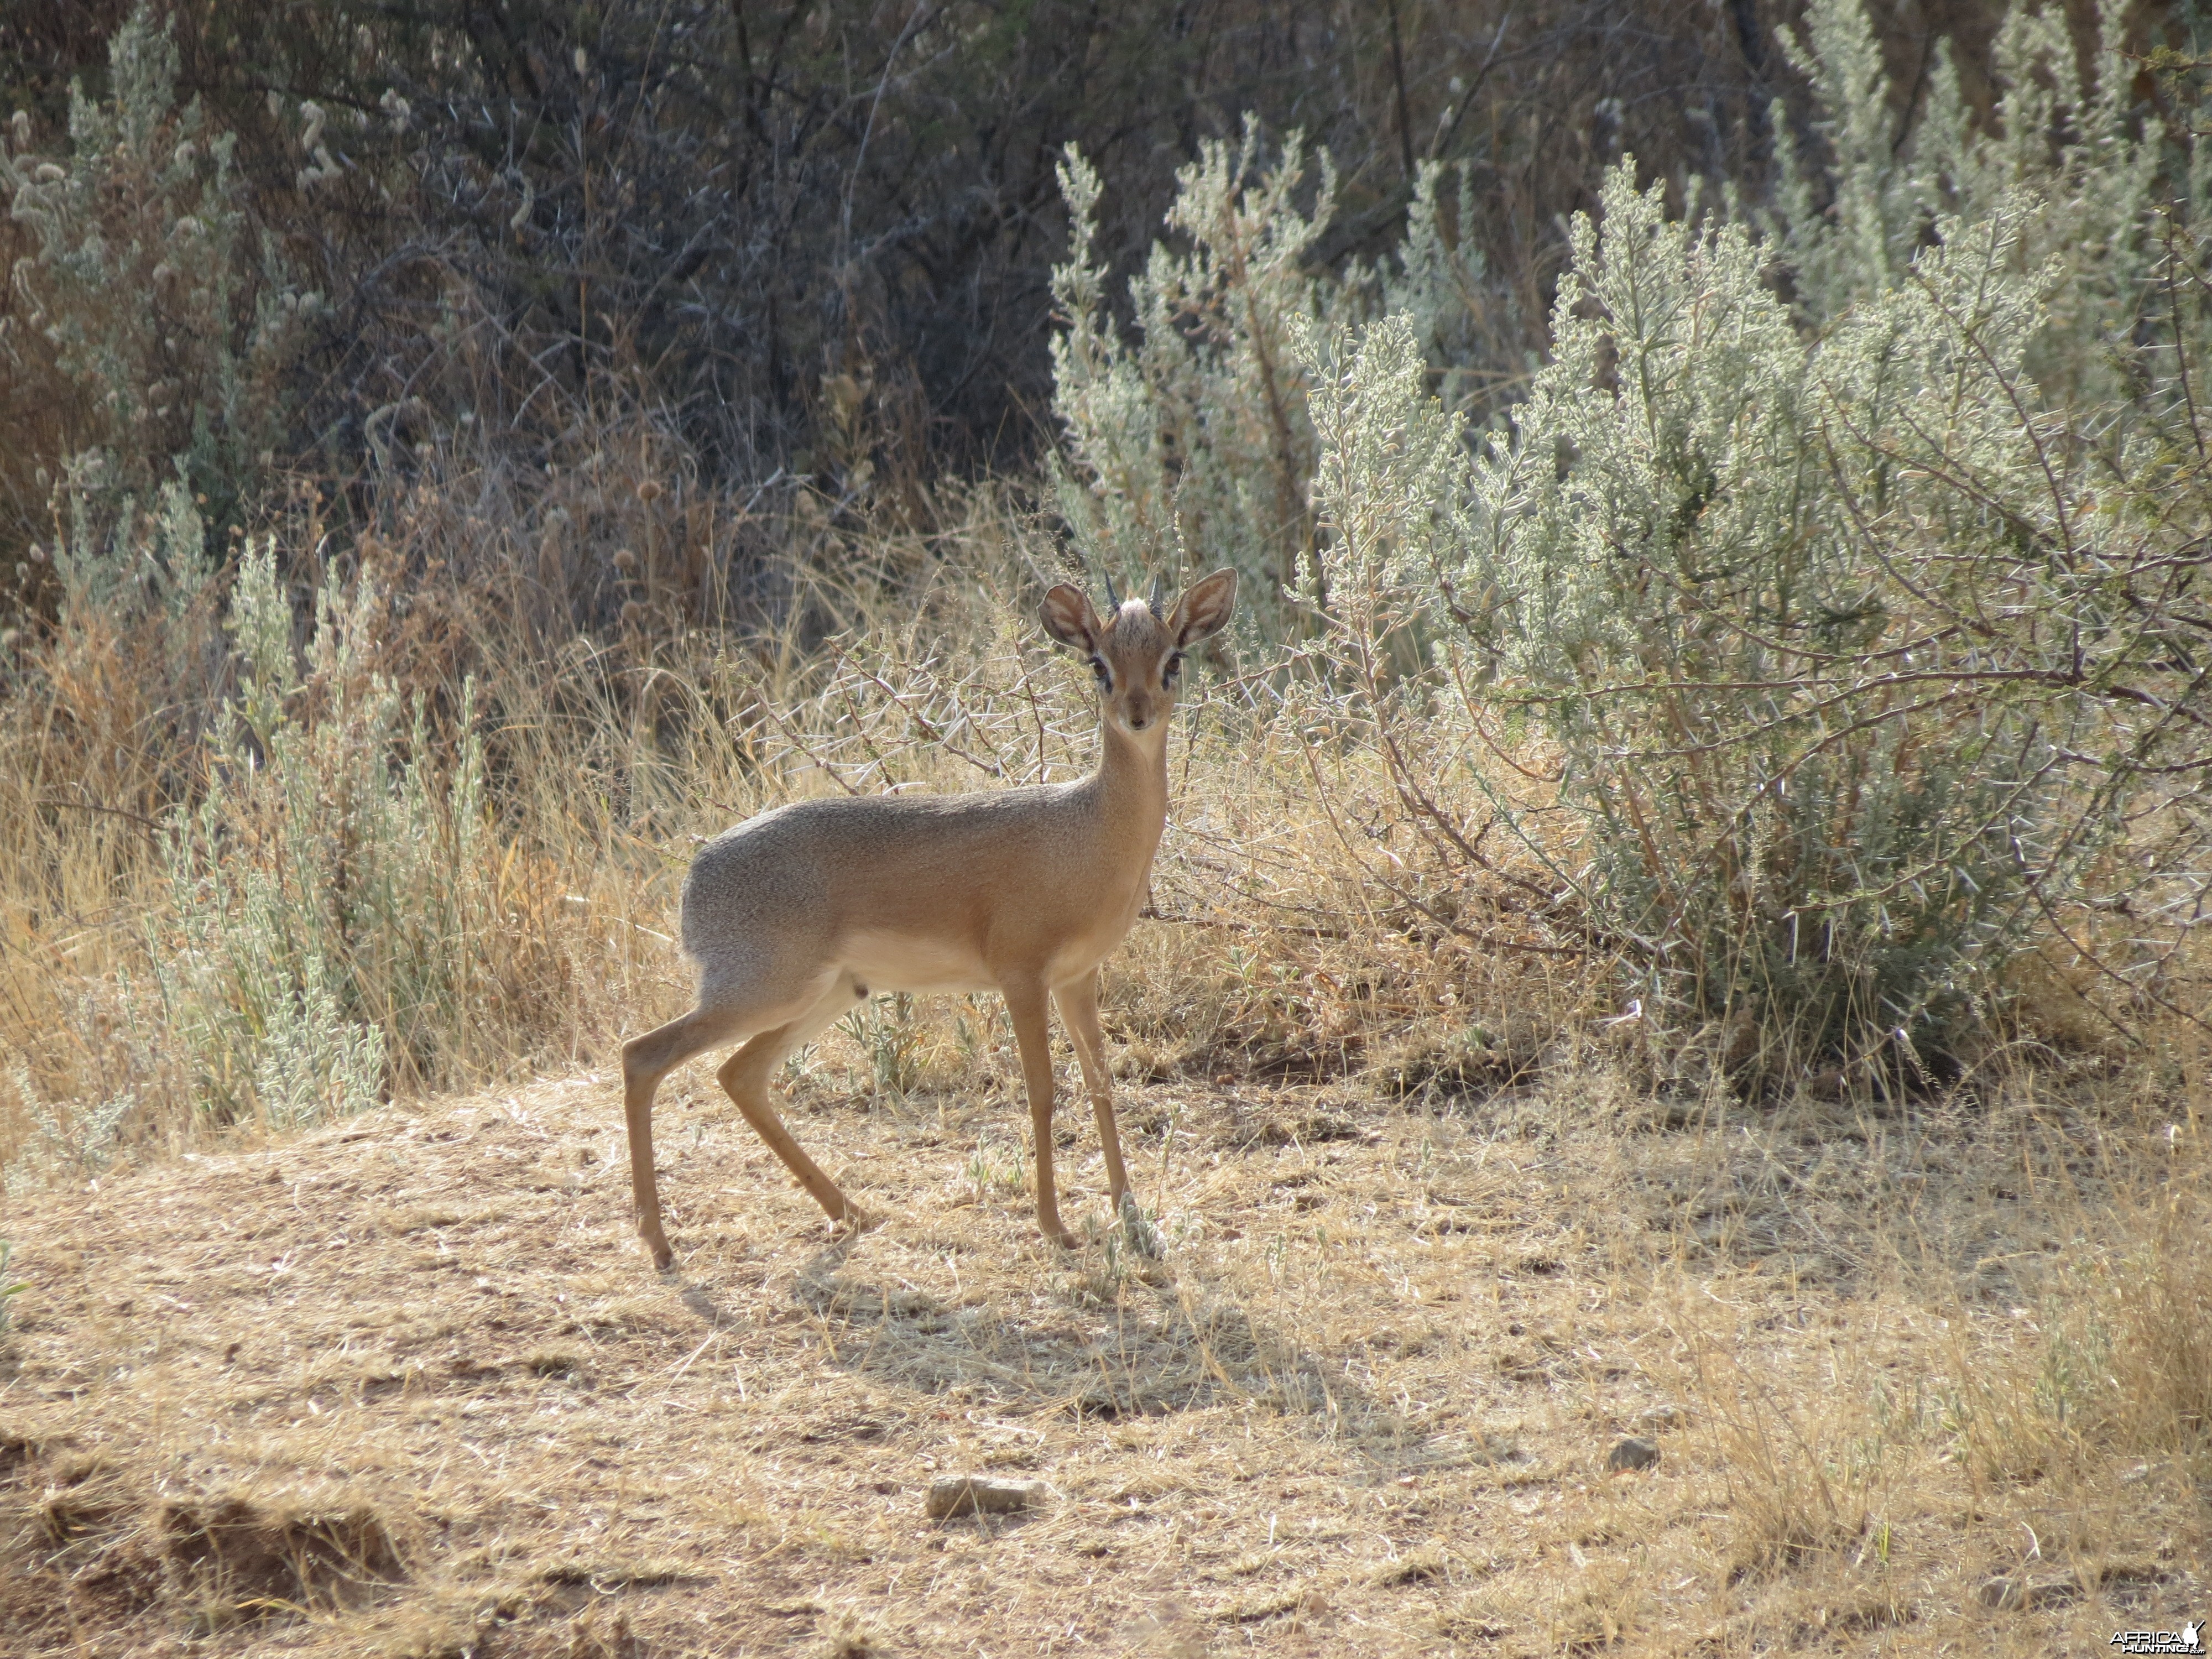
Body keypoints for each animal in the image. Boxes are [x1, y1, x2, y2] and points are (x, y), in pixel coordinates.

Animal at [624, 566, 1239, 1265]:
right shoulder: (1021, 977)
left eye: (1173, 659)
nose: (1136, 715)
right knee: (642, 1055)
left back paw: (849, 1212)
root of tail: (695, 876)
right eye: (1098, 665)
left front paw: (1132, 1218)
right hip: (762, 994)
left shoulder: (1077, 978)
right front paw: (1054, 1226)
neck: (1087, 831)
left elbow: (1100, 1083)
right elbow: (1042, 1091)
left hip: (823, 996)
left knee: (739, 1075)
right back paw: (659, 1242)